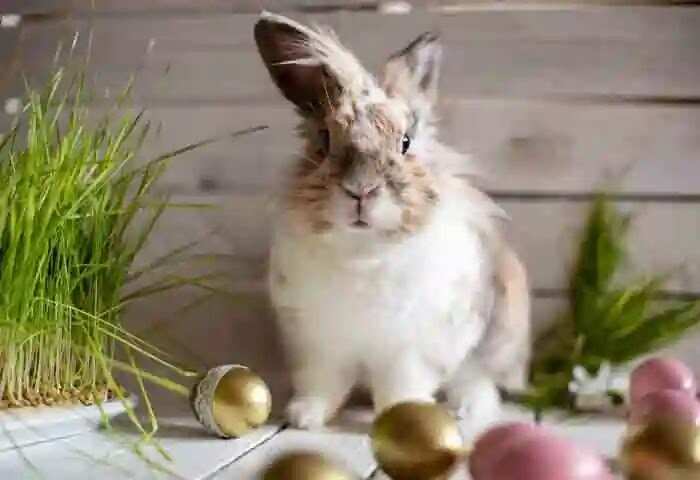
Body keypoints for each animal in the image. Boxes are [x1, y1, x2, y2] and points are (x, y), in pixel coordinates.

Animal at [254, 12, 531, 430]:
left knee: (478, 378)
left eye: (405, 143)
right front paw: (304, 417)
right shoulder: (318, 345)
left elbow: (402, 385)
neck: (362, 250)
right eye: (325, 140)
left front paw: (401, 418)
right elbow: (322, 383)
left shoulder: (412, 350)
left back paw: (466, 409)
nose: (360, 190)